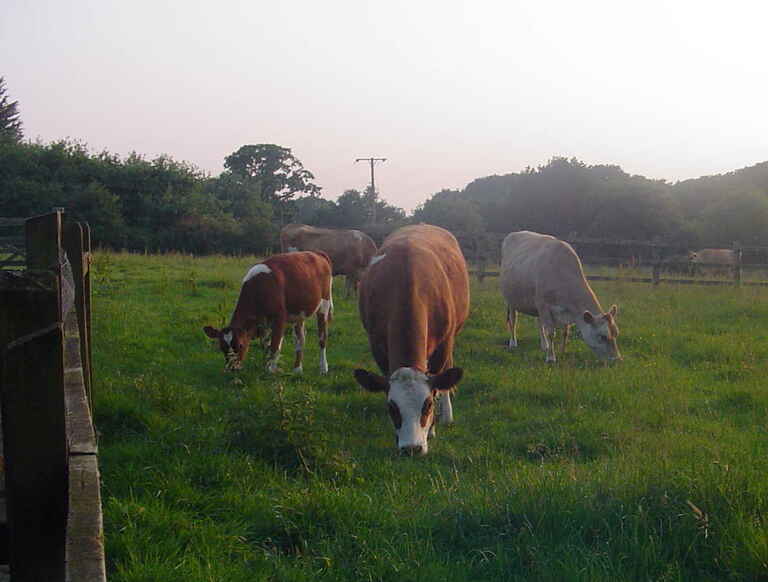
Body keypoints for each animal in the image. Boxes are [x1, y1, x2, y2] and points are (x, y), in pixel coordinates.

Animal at [203, 251, 333, 374]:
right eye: (221, 347)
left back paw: (323, 368)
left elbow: (275, 346)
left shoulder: (279, 318)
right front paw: (266, 366)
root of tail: (317, 253)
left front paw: (270, 370)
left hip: (324, 304)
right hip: (299, 313)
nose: (232, 368)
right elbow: (266, 346)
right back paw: (297, 369)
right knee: (300, 339)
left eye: (240, 345)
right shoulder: (263, 323)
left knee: (322, 338)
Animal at [353, 224, 469, 456]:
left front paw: (432, 428)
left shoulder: (443, 344)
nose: (412, 448)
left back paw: (447, 413)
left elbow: (439, 381)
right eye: (391, 407)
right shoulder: (377, 345)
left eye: (428, 405)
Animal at [500, 230, 621, 363]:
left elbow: (565, 332)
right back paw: (513, 342)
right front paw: (551, 357)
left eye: (616, 333)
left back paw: (544, 345)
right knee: (513, 320)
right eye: (602, 336)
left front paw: (563, 351)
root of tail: (515, 233)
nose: (617, 360)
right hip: (511, 300)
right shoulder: (544, 305)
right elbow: (551, 333)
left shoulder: (567, 309)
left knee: (539, 322)